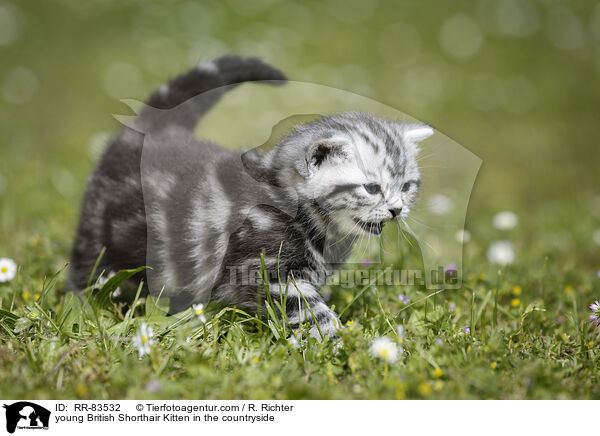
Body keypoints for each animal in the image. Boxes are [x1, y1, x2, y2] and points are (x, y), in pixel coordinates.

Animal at [69, 55, 432, 338]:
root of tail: (150, 129)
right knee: (86, 272)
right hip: (99, 239)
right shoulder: (265, 273)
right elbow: (310, 312)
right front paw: (337, 344)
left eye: (406, 186)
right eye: (372, 188)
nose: (397, 209)